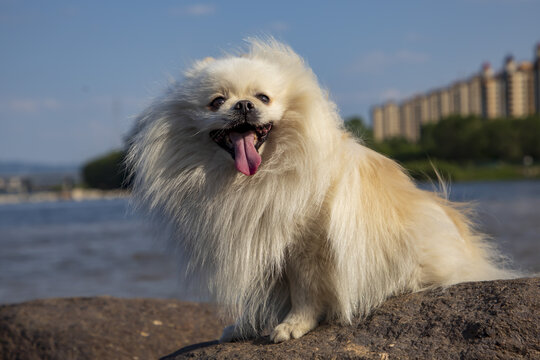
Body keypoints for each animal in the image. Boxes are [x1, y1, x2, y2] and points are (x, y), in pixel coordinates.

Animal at [129, 38, 512, 344]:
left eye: (263, 97)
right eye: (216, 101)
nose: (243, 105)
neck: (251, 179)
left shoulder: (306, 246)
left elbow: (305, 293)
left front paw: (292, 326)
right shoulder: (262, 239)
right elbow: (260, 296)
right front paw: (244, 327)